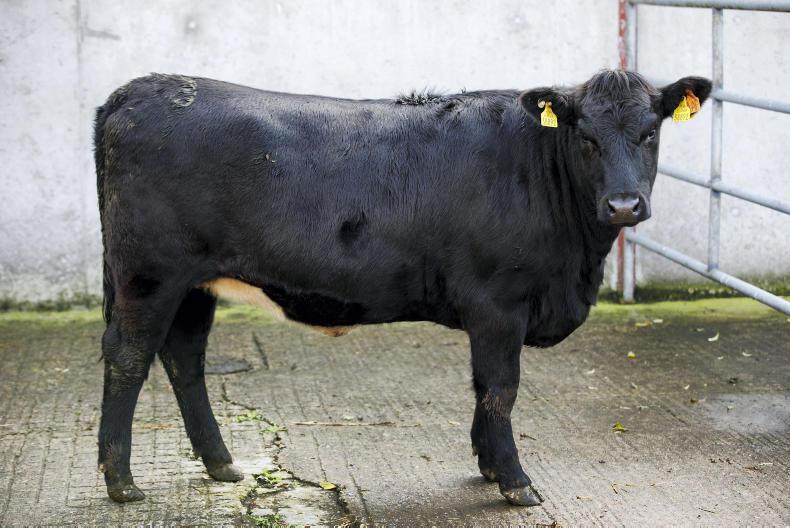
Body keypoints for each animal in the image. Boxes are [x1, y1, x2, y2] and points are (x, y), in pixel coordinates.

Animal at [93, 70, 711, 505]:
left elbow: (482, 388)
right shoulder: (498, 302)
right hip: (149, 275)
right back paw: (120, 481)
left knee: (184, 360)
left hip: (195, 284)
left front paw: (489, 466)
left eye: (650, 132)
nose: (624, 204)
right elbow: (500, 388)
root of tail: (140, 88)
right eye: (586, 137)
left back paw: (221, 464)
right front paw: (515, 482)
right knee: (128, 359)